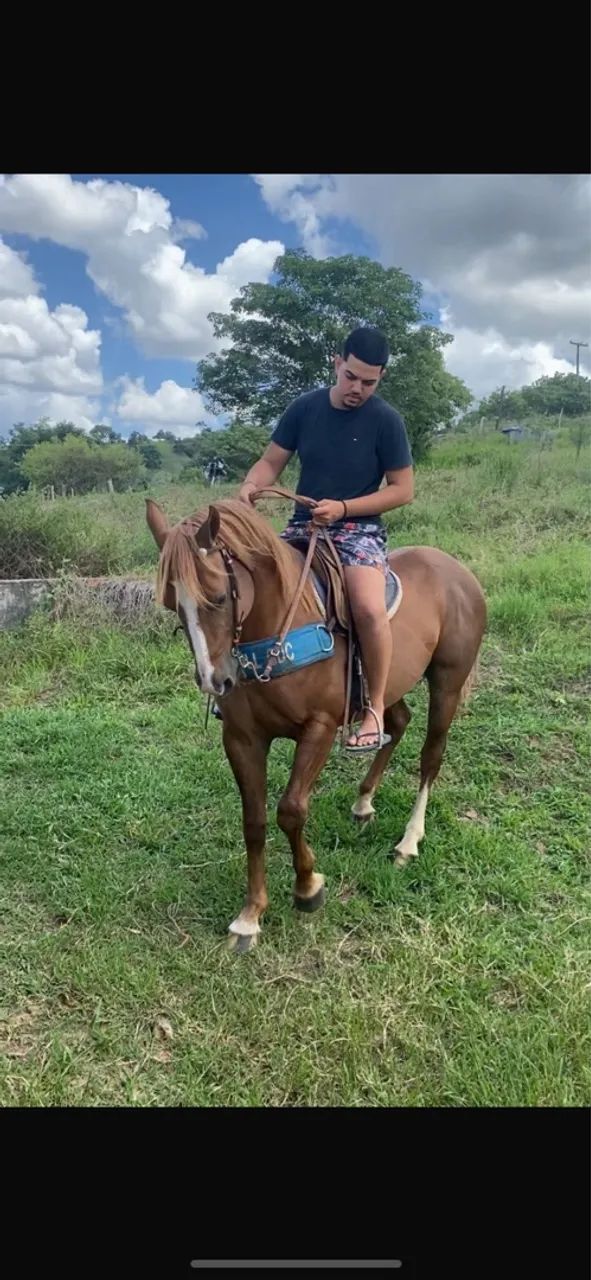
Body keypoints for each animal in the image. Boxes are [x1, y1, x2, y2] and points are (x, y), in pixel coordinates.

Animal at [146, 495, 487, 952]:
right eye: (171, 603)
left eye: (217, 597)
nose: (216, 681)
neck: (275, 632)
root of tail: (456, 571)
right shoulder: (241, 738)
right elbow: (253, 821)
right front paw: (250, 916)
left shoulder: (320, 728)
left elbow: (290, 810)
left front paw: (308, 888)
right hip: (388, 685)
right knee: (396, 723)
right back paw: (363, 801)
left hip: (447, 681)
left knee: (431, 755)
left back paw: (408, 841)